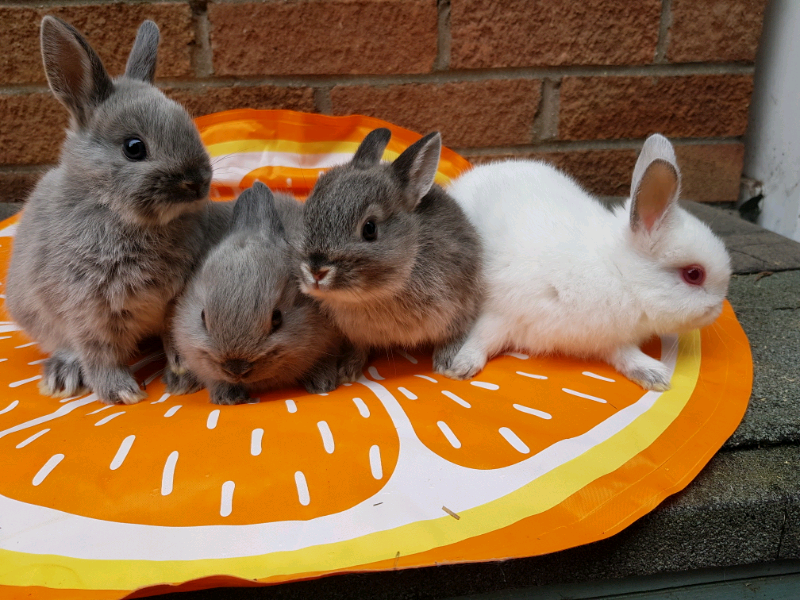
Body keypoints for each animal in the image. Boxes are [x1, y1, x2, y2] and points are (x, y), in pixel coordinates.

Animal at [5, 16, 232, 405]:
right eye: (134, 147)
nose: (198, 182)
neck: (123, 215)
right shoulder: (87, 310)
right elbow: (99, 352)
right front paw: (122, 393)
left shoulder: (176, 300)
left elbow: (176, 335)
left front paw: (183, 376)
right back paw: (62, 376)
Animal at [298, 128, 484, 382]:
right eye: (308, 213)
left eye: (370, 229)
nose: (316, 272)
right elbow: (358, 347)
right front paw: (346, 371)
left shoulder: (459, 305)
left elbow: (455, 334)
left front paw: (447, 365)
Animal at [442, 133, 733, 391]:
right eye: (694, 274)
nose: (717, 311)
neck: (619, 274)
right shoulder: (504, 311)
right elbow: (482, 337)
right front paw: (460, 366)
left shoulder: (610, 339)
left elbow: (626, 355)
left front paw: (654, 376)